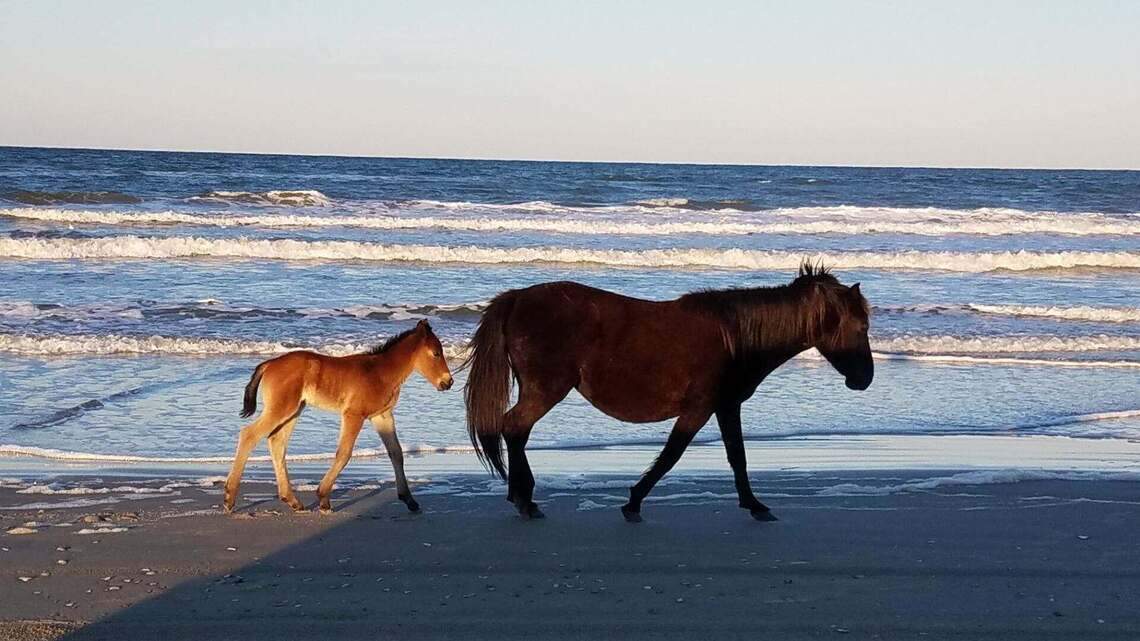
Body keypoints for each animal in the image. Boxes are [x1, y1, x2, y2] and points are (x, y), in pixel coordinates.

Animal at [223, 320, 454, 515]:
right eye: (436, 353)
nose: (448, 382)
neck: (380, 372)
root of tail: (269, 364)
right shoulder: (353, 414)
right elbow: (344, 453)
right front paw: (324, 499)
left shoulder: (382, 416)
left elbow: (396, 453)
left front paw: (409, 500)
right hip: (281, 409)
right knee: (249, 435)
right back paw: (229, 498)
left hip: (293, 410)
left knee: (276, 442)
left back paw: (293, 501)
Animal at [463, 263, 873, 522]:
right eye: (861, 327)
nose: (864, 380)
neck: (735, 337)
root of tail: (518, 298)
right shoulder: (699, 408)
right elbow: (671, 456)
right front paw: (633, 503)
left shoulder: (726, 407)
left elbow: (737, 457)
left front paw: (754, 505)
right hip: (545, 389)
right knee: (514, 428)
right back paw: (525, 500)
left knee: (515, 431)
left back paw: (521, 497)